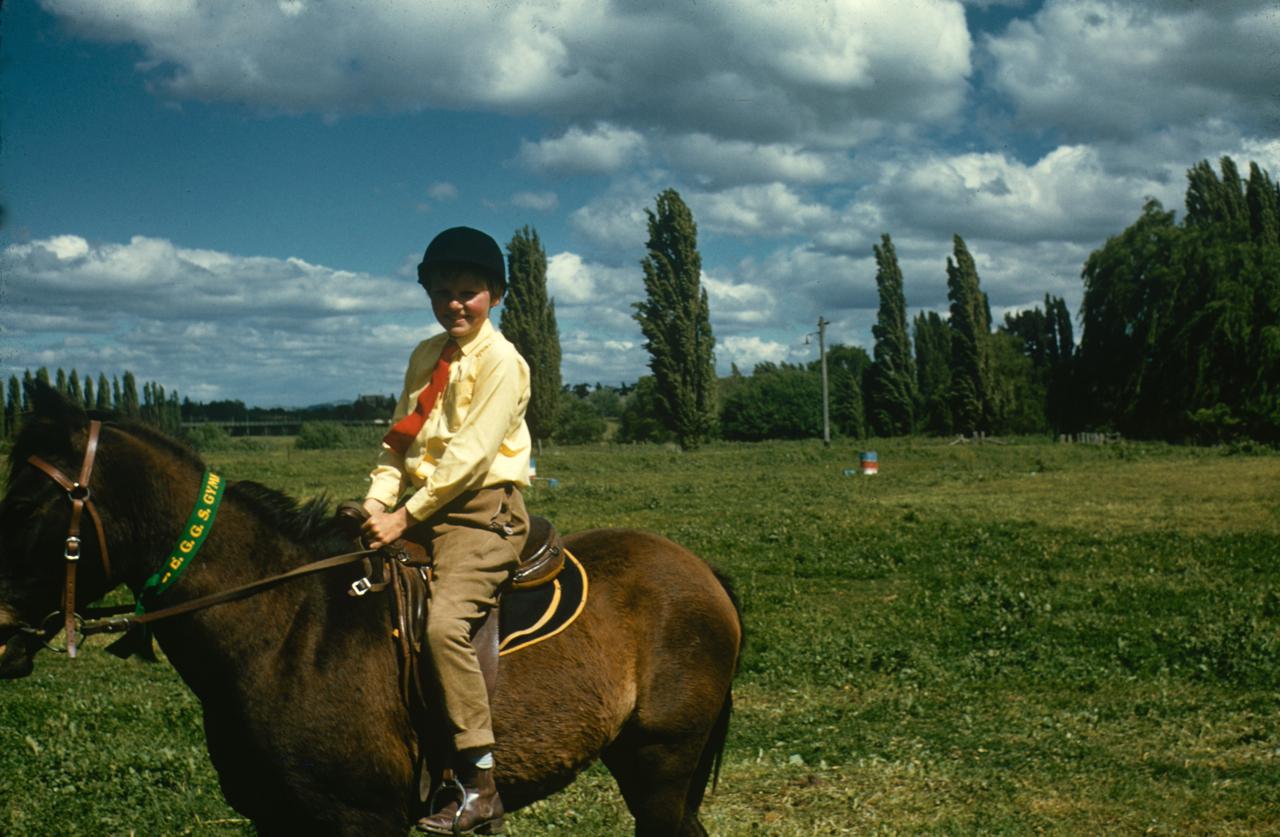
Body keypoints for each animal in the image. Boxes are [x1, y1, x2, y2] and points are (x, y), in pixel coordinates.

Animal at [0, 389, 742, 834]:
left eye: (30, 504)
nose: (2, 640)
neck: (283, 631)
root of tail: (702, 571)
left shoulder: (361, 819)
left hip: (659, 766)